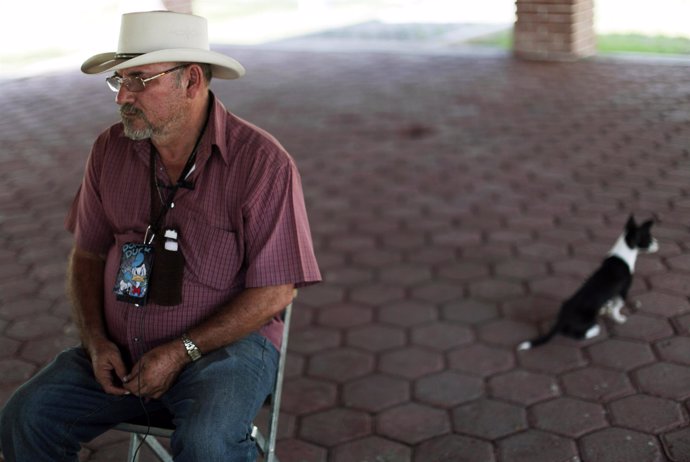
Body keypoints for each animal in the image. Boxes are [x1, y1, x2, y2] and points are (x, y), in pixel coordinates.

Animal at [516, 217, 656, 350]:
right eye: (649, 239)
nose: (658, 244)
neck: (623, 252)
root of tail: (562, 318)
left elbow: (611, 303)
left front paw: (607, 309)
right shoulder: (623, 290)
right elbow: (618, 306)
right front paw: (618, 318)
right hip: (587, 320)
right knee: (576, 334)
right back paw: (594, 330)